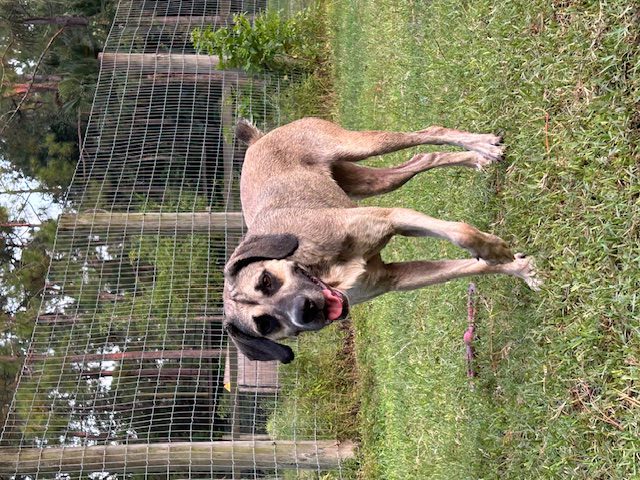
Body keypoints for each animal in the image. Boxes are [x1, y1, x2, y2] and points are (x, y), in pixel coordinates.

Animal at [222, 118, 536, 362]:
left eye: (265, 281)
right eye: (265, 325)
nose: (305, 310)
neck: (324, 270)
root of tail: (257, 141)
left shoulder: (393, 217)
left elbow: (461, 232)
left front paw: (494, 250)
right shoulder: (393, 278)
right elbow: (469, 267)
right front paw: (519, 269)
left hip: (360, 145)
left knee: (427, 132)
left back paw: (482, 145)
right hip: (371, 182)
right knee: (421, 160)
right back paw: (477, 157)